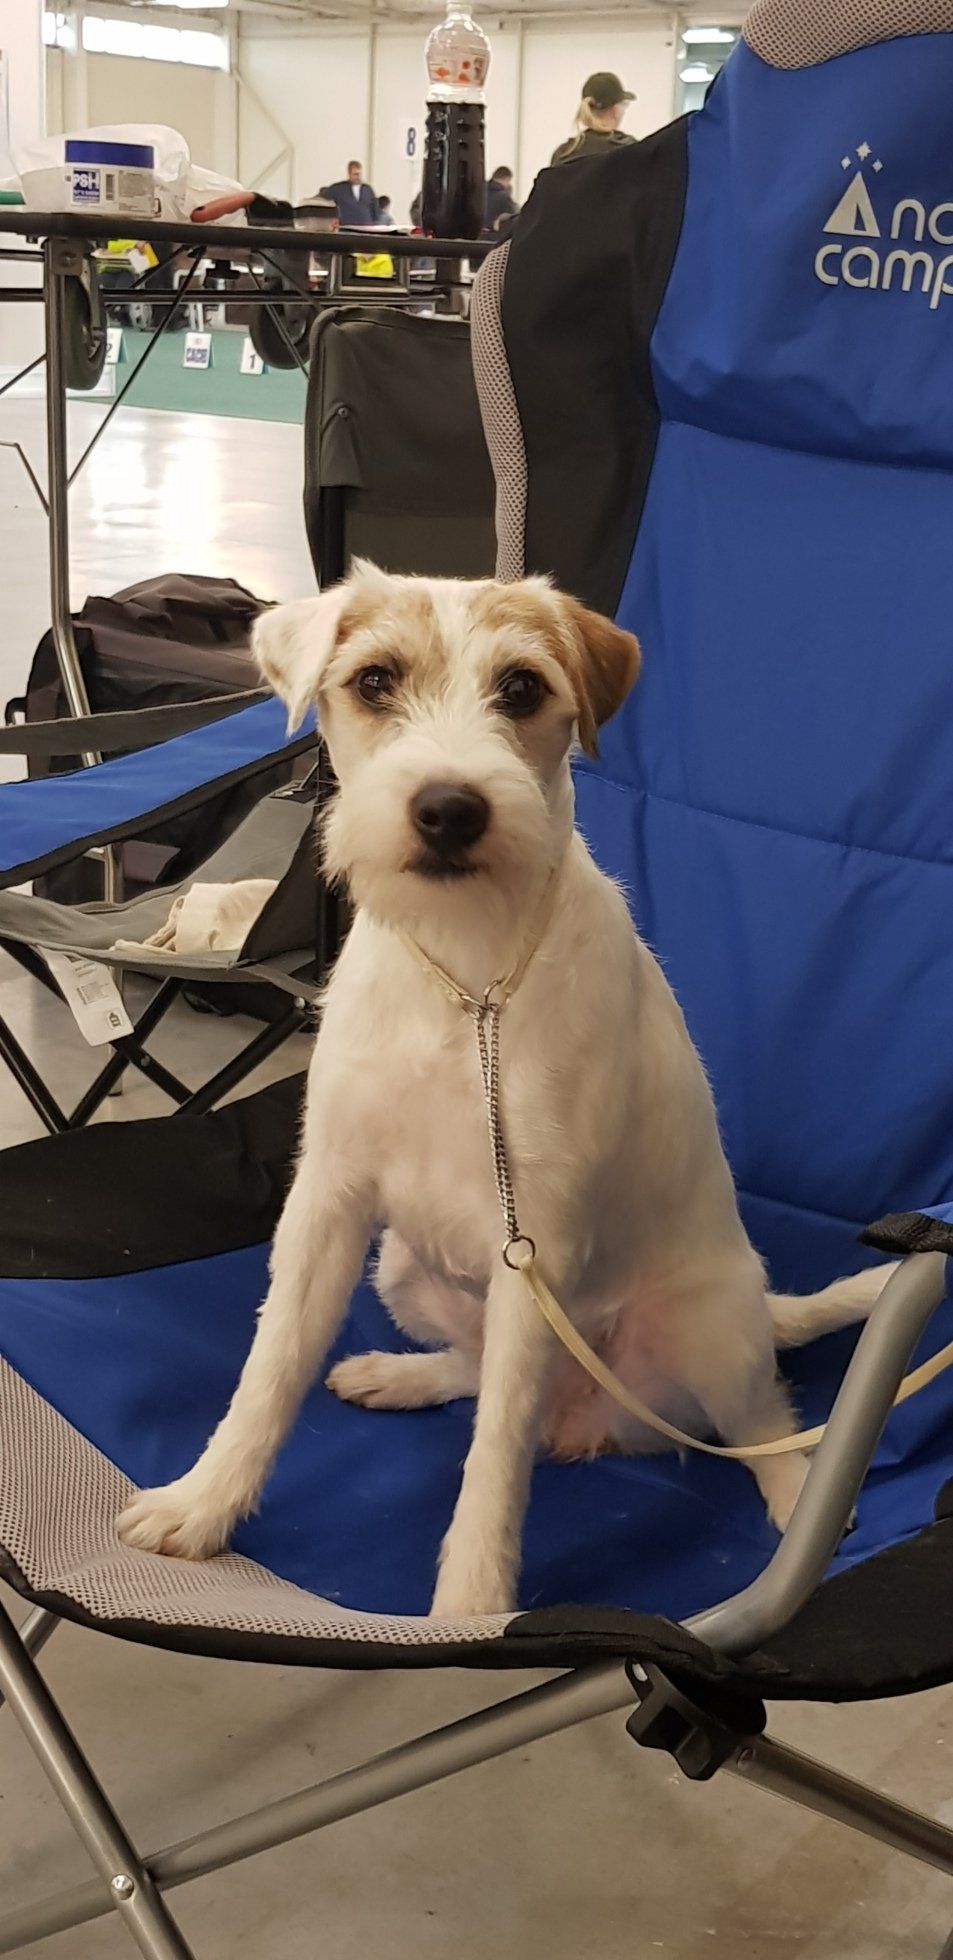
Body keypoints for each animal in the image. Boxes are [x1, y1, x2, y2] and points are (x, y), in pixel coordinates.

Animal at [118, 563, 891, 1617]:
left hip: (699, 1331)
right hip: (402, 1268)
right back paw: (399, 1374)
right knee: (476, 1373)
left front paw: (467, 1614)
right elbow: (269, 1370)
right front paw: (202, 1504)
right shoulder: (329, 1203)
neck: (466, 973)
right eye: (373, 681)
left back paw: (792, 1491)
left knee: (756, 1417)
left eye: (521, 689)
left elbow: (494, 1462)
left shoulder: (535, 1244)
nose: (449, 809)